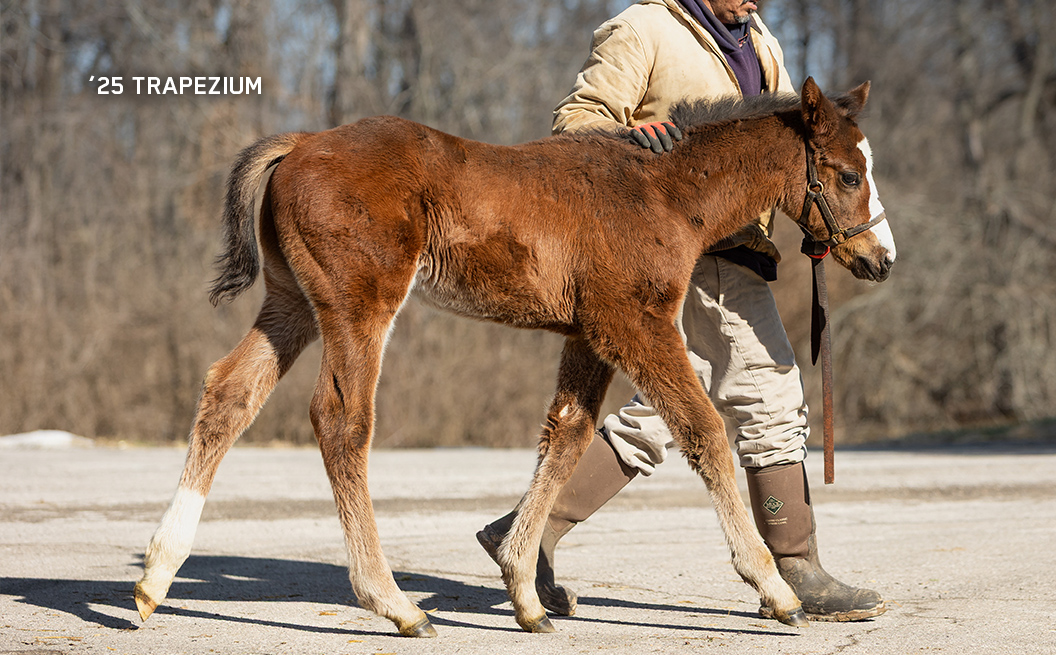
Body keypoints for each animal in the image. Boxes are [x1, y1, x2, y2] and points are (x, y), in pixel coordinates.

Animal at [132, 79, 895, 638]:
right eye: (846, 174)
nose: (880, 260)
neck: (665, 192)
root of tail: (302, 142)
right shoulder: (637, 324)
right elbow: (704, 430)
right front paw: (774, 590)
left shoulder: (589, 333)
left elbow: (566, 434)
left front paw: (524, 591)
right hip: (360, 304)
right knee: (342, 421)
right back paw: (395, 603)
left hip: (291, 302)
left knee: (228, 394)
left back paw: (154, 579)